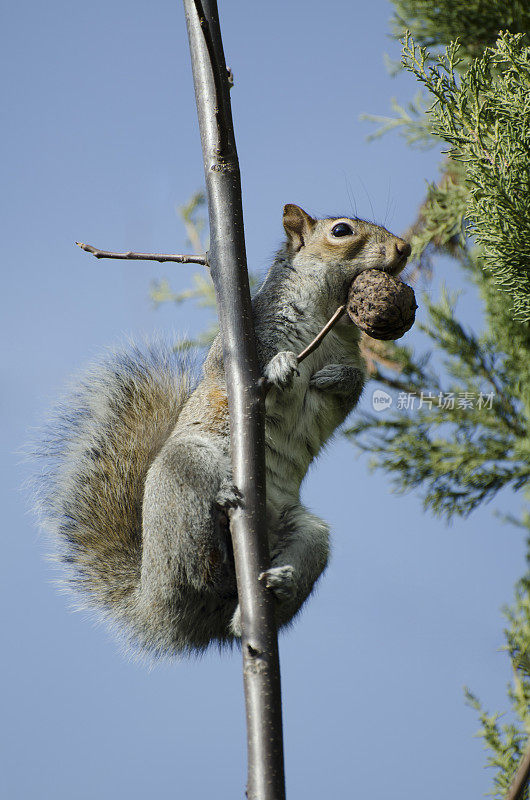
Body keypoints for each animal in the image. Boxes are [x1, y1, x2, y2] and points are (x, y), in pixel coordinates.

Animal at [35, 205, 410, 656]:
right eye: (341, 231)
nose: (404, 248)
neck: (326, 317)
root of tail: (155, 605)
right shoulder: (238, 349)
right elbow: (236, 367)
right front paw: (281, 366)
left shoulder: (351, 363)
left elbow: (351, 390)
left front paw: (334, 377)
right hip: (184, 469)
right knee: (195, 567)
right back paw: (221, 504)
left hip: (308, 534)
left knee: (248, 601)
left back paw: (278, 586)